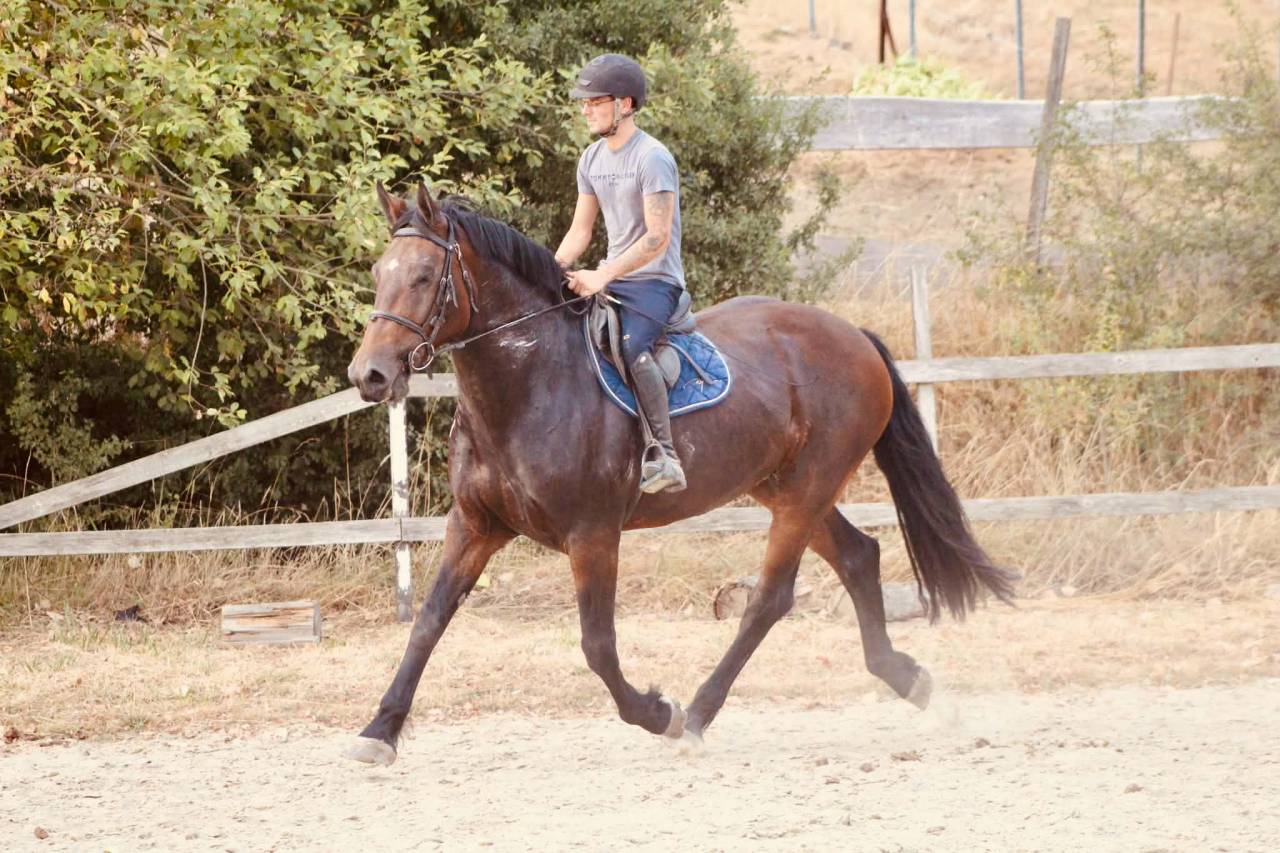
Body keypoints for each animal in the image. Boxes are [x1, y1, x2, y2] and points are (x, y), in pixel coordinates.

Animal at [344, 184, 1016, 765]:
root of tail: (853, 335)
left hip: (806, 491)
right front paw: (379, 730)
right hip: (786, 488)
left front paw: (656, 713)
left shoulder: (593, 535)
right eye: (379, 274)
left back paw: (695, 715)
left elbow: (598, 647)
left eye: (423, 277)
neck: (531, 384)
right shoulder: (475, 525)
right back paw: (911, 682)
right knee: (858, 556)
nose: (368, 375)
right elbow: (429, 620)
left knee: (769, 599)